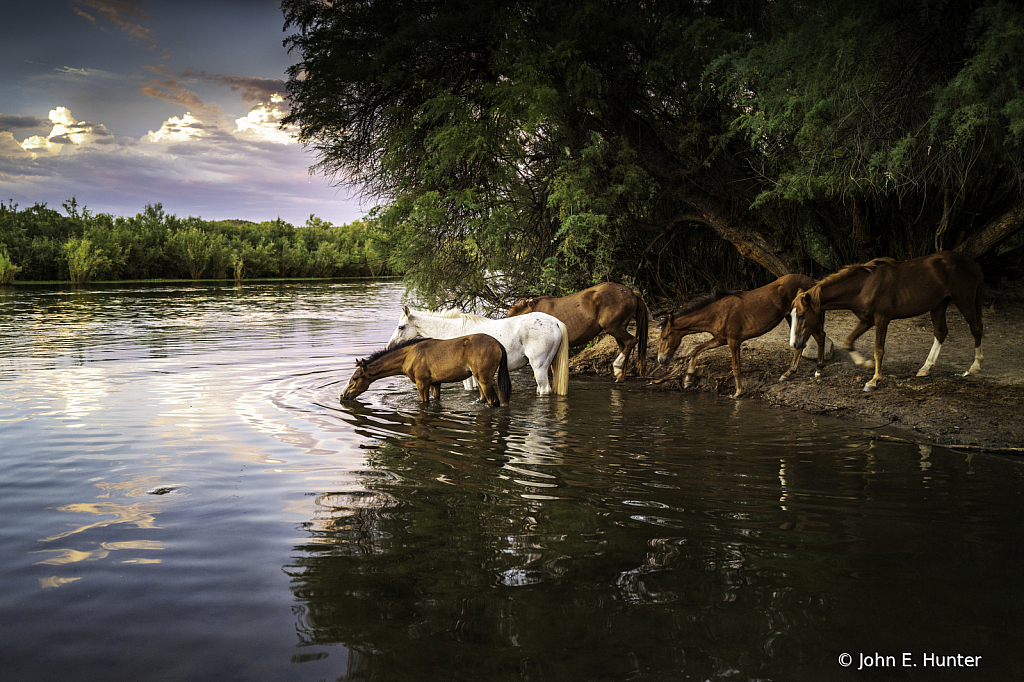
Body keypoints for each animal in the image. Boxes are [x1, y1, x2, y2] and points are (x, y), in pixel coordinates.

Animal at [339, 333, 512, 403]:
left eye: (355, 378)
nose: (342, 395)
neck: (410, 355)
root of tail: (497, 343)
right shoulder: (435, 383)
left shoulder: (422, 384)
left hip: (484, 380)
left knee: (494, 402)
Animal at [387, 307, 573, 395]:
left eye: (401, 327)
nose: (389, 347)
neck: (452, 331)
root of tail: (555, 322)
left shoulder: (466, 378)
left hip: (539, 367)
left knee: (544, 389)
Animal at [507, 280, 651, 378]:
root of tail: (632, 292)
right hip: (618, 330)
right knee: (624, 347)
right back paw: (619, 374)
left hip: (614, 328)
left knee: (632, 341)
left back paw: (617, 368)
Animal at [659, 272, 827, 395]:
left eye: (664, 337)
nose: (661, 360)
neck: (717, 313)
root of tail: (813, 281)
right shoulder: (719, 339)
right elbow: (695, 350)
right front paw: (688, 379)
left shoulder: (733, 341)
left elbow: (735, 367)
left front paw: (738, 393)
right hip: (792, 317)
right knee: (801, 343)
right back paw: (789, 373)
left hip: (805, 318)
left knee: (820, 336)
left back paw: (818, 370)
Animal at [786, 249, 987, 391]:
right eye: (792, 315)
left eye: (802, 315)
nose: (794, 344)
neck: (864, 286)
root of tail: (974, 264)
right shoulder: (867, 320)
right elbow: (849, 341)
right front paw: (864, 363)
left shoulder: (882, 319)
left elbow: (878, 350)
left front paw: (874, 380)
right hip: (938, 305)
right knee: (941, 332)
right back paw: (925, 368)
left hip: (964, 301)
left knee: (976, 328)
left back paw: (975, 366)